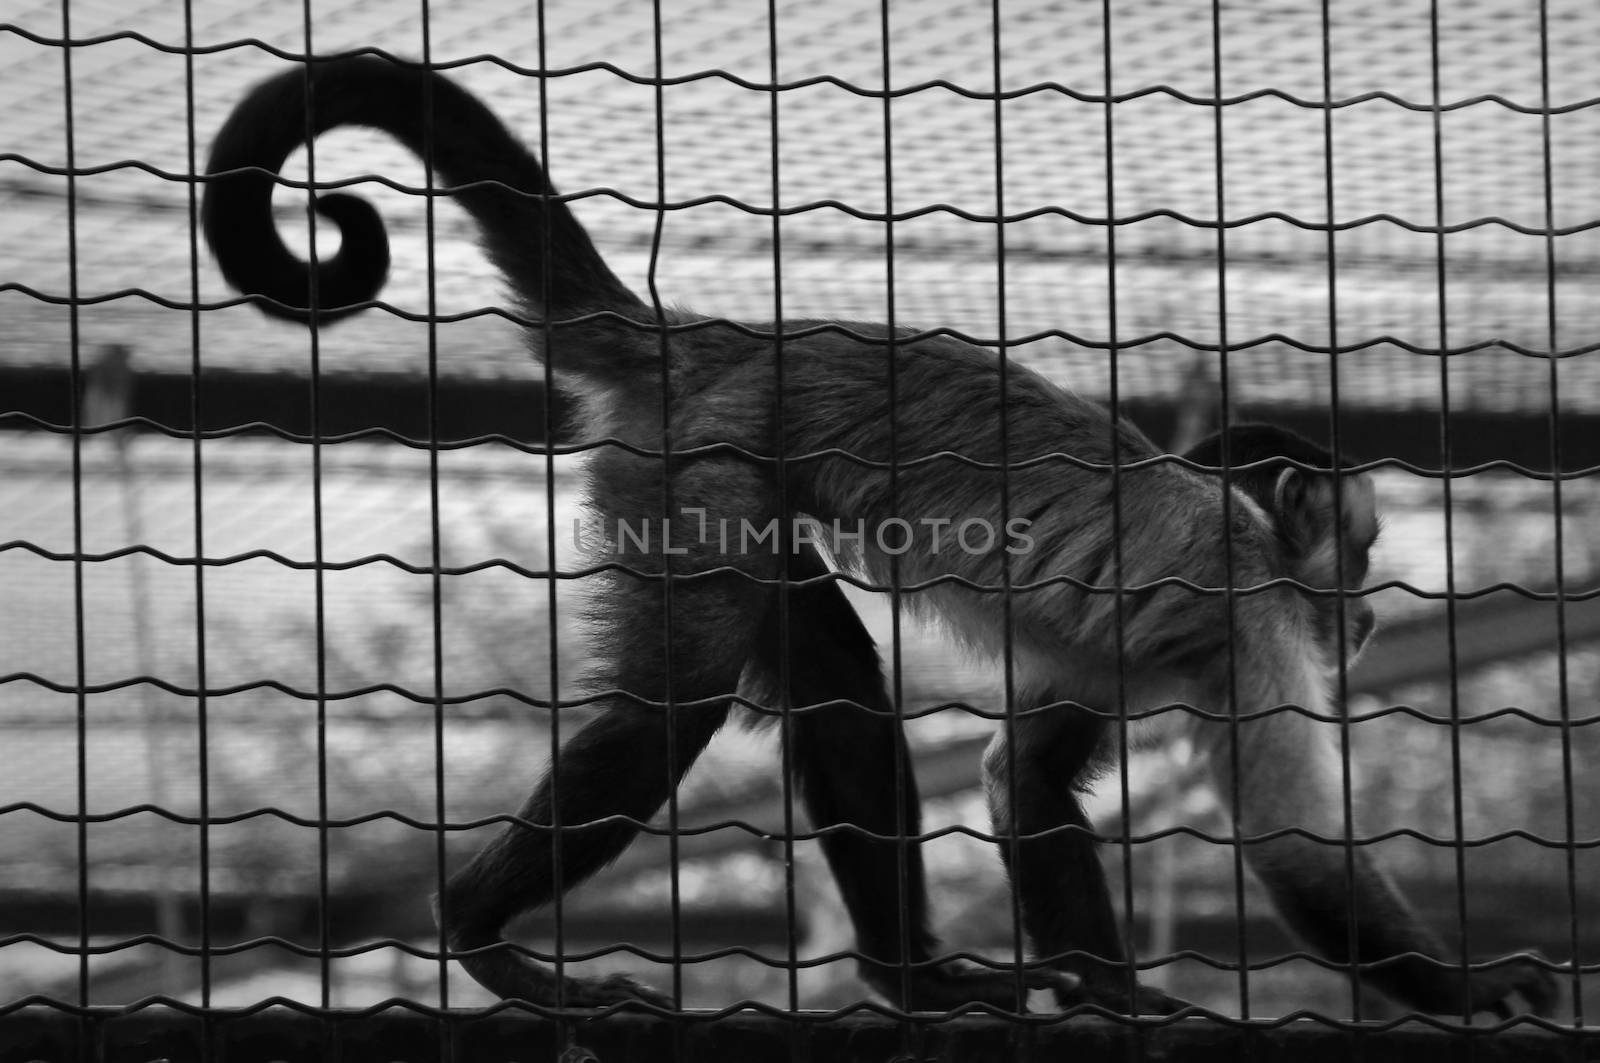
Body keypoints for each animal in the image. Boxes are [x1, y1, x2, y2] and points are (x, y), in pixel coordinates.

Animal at [203, 54, 1561, 1018]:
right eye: (1362, 550)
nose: (1371, 610)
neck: (1234, 520)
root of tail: (717, 343)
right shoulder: (1258, 604)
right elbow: (1293, 847)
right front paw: (1466, 987)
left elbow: (1023, 779)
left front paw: (1113, 997)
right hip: (698, 469)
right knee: (674, 705)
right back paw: (481, 931)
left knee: (833, 677)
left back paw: (905, 974)